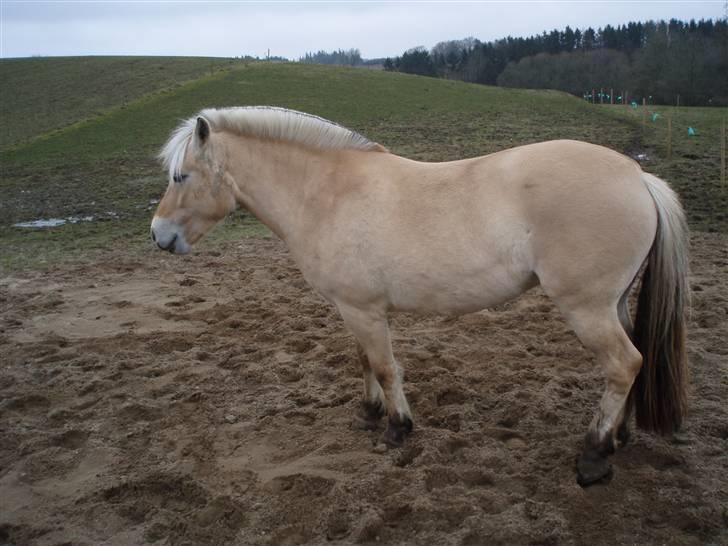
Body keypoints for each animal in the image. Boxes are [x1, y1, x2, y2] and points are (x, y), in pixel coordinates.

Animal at [149, 106, 688, 484]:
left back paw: (593, 456)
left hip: (587, 309)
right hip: (613, 304)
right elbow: (364, 362)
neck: (326, 192)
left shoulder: (364, 310)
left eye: (181, 176)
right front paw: (368, 416)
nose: (158, 236)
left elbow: (386, 368)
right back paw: (618, 436)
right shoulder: (353, 309)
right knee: (631, 363)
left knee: (624, 364)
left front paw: (397, 428)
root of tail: (639, 177)